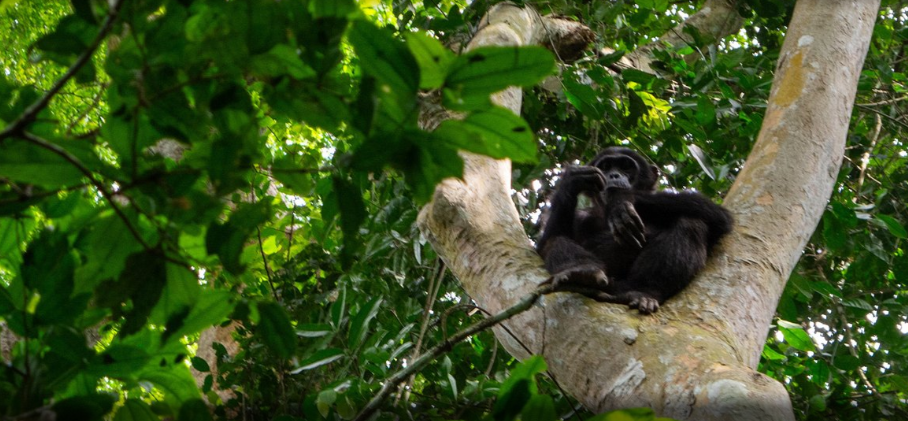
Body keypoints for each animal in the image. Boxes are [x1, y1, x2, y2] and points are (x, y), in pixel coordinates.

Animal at [536, 147, 736, 312]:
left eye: (626, 166)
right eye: (606, 166)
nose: (614, 175)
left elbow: (716, 214)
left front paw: (620, 201)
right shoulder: (580, 217)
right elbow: (546, 242)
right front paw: (572, 180)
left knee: (692, 223)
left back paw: (643, 292)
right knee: (554, 241)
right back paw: (583, 271)